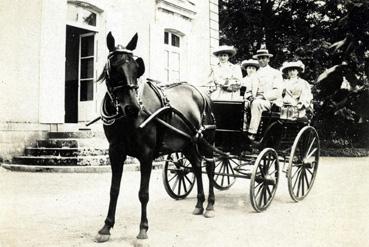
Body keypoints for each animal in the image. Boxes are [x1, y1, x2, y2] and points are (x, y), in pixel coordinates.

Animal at [93, 31, 217, 242]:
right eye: (114, 68)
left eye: (136, 68)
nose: (132, 108)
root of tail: (202, 93)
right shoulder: (115, 152)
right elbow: (114, 190)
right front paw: (106, 227)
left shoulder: (146, 155)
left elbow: (143, 193)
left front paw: (143, 229)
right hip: (187, 144)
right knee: (196, 165)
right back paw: (199, 204)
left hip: (205, 141)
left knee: (209, 167)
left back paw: (209, 205)